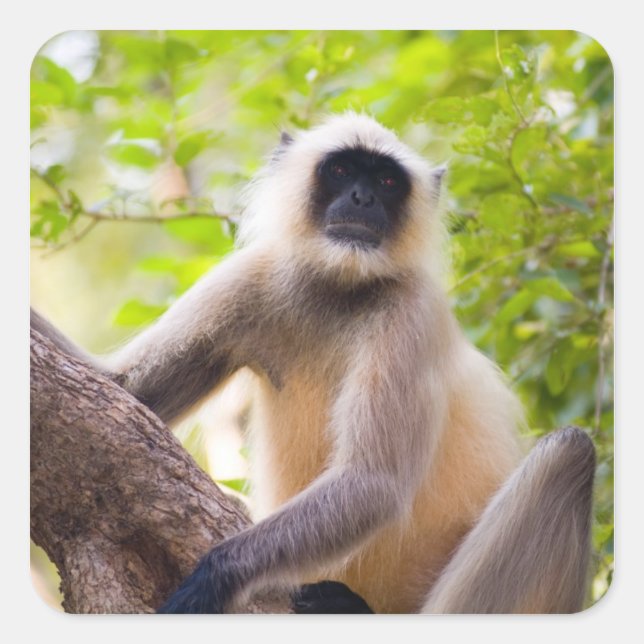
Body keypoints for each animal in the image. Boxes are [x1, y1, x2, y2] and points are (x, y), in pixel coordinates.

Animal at [31, 113, 596, 614]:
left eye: (387, 181)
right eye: (342, 171)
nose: (364, 198)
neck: (338, 287)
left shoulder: (412, 313)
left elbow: (373, 483)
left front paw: (215, 577)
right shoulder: (252, 274)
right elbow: (122, 390)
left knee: (571, 451)